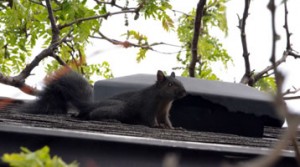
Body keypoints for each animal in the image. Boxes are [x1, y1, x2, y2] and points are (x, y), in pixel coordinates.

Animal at [1, 67, 186, 129]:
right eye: (170, 84)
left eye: (180, 81)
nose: (184, 92)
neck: (164, 100)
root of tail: (88, 106)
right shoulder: (149, 105)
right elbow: (149, 118)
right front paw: (156, 126)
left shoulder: (164, 112)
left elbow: (167, 121)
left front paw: (174, 128)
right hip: (118, 108)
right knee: (92, 115)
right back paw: (109, 120)